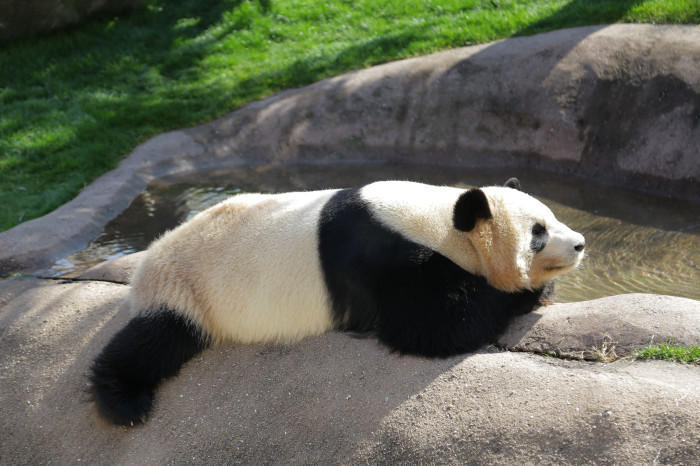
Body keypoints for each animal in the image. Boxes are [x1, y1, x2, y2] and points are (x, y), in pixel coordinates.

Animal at [90, 177, 588, 426]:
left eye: (552, 217)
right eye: (538, 233)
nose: (580, 243)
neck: (440, 220)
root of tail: (145, 263)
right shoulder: (386, 260)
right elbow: (433, 326)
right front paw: (521, 292)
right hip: (187, 287)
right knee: (155, 341)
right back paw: (123, 402)